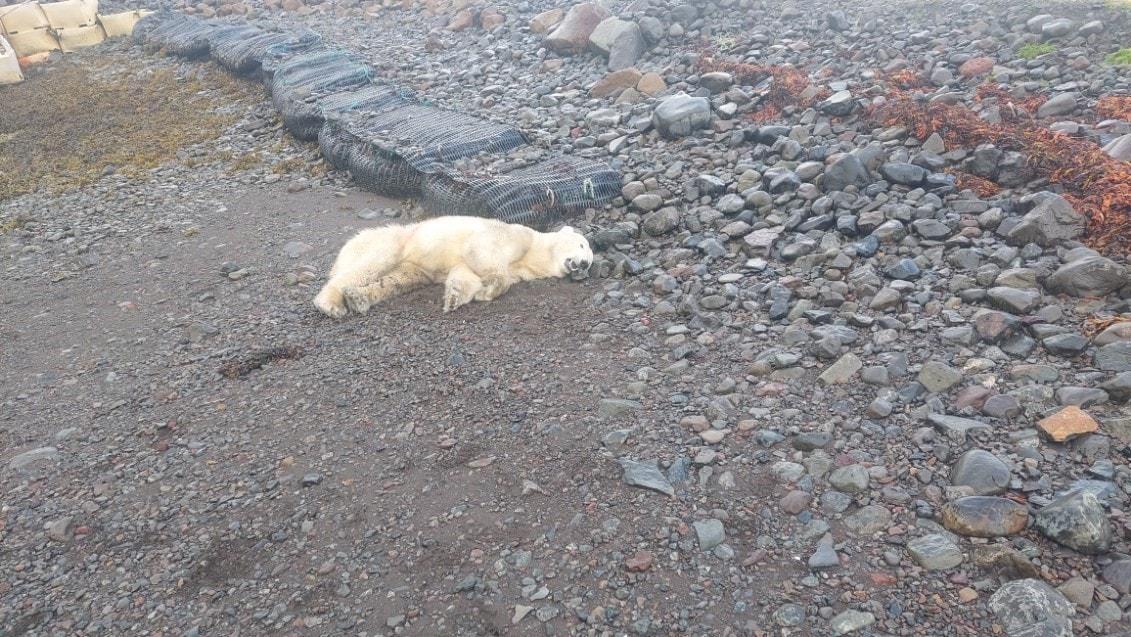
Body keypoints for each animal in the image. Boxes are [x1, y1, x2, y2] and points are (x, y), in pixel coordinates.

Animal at [309, 217, 592, 319]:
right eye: (582, 245)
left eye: (590, 261)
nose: (584, 264)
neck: (533, 253)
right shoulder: (514, 235)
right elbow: (482, 251)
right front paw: (489, 289)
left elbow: (465, 273)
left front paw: (456, 296)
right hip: (392, 242)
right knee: (369, 265)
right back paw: (331, 304)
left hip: (412, 267)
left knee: (396, 281)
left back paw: (359, 298)